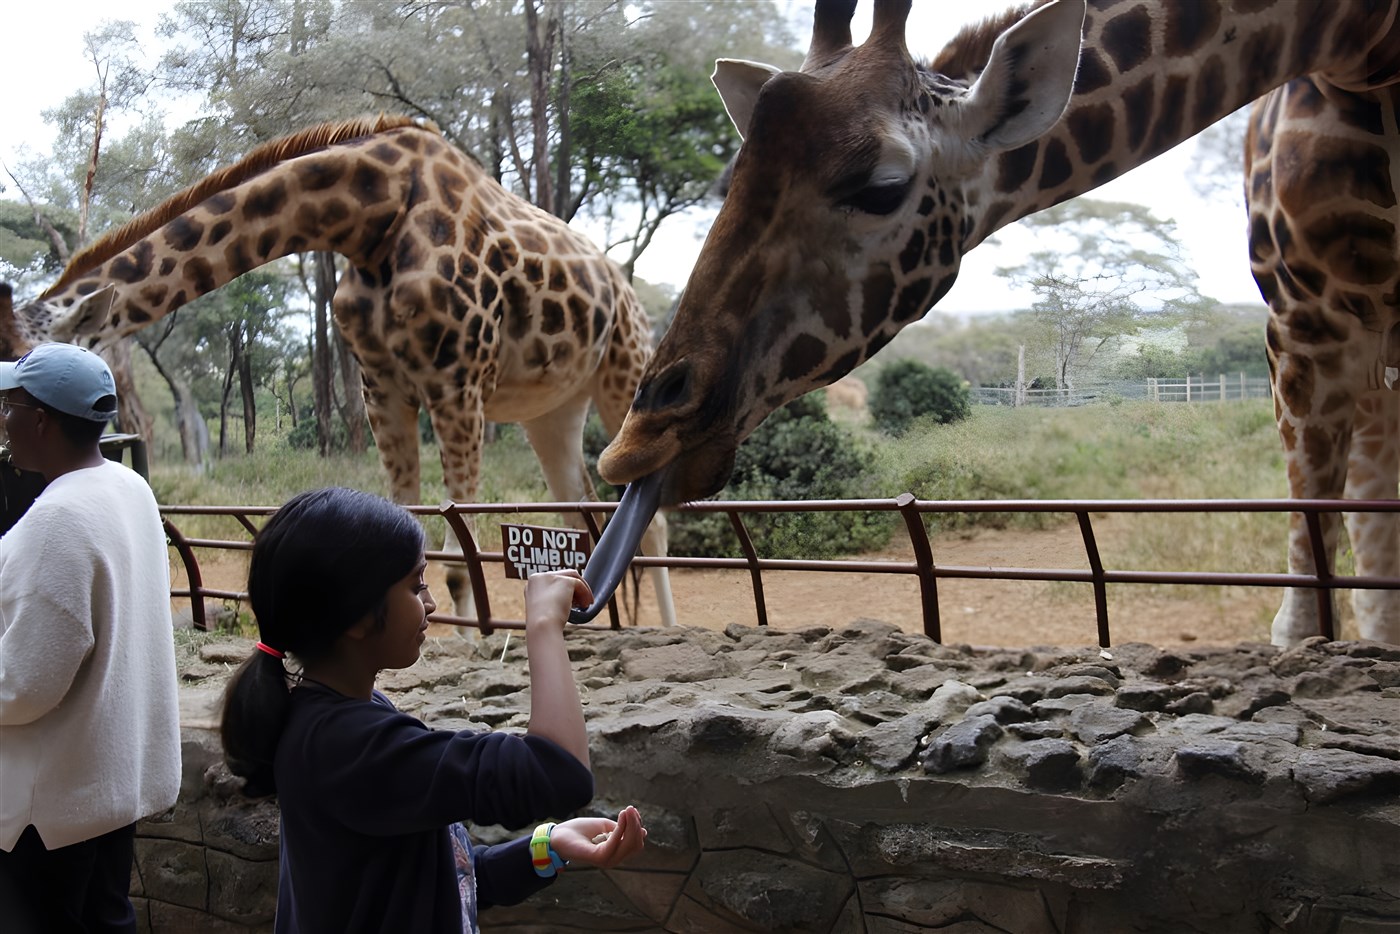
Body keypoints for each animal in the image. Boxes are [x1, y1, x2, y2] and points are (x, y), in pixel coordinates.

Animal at [0, 114, 676, 629]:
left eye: (25, 379)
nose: (16, 466)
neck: (370, 219)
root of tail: (624, 285)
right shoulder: (383, 390)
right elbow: (410, 529)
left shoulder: (456, 385)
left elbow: (460, 550)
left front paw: (475, 643)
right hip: (552, 408)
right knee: (579, 510)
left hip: (624, 373)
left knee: (654, 520)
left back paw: (661, 629)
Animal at [581, 0, 1400, 646]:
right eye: (732, 176)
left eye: (881, 187)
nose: (637, 443)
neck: (1358, 42)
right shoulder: (1314, 326)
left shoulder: (1304, 330)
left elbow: (1312, 602)